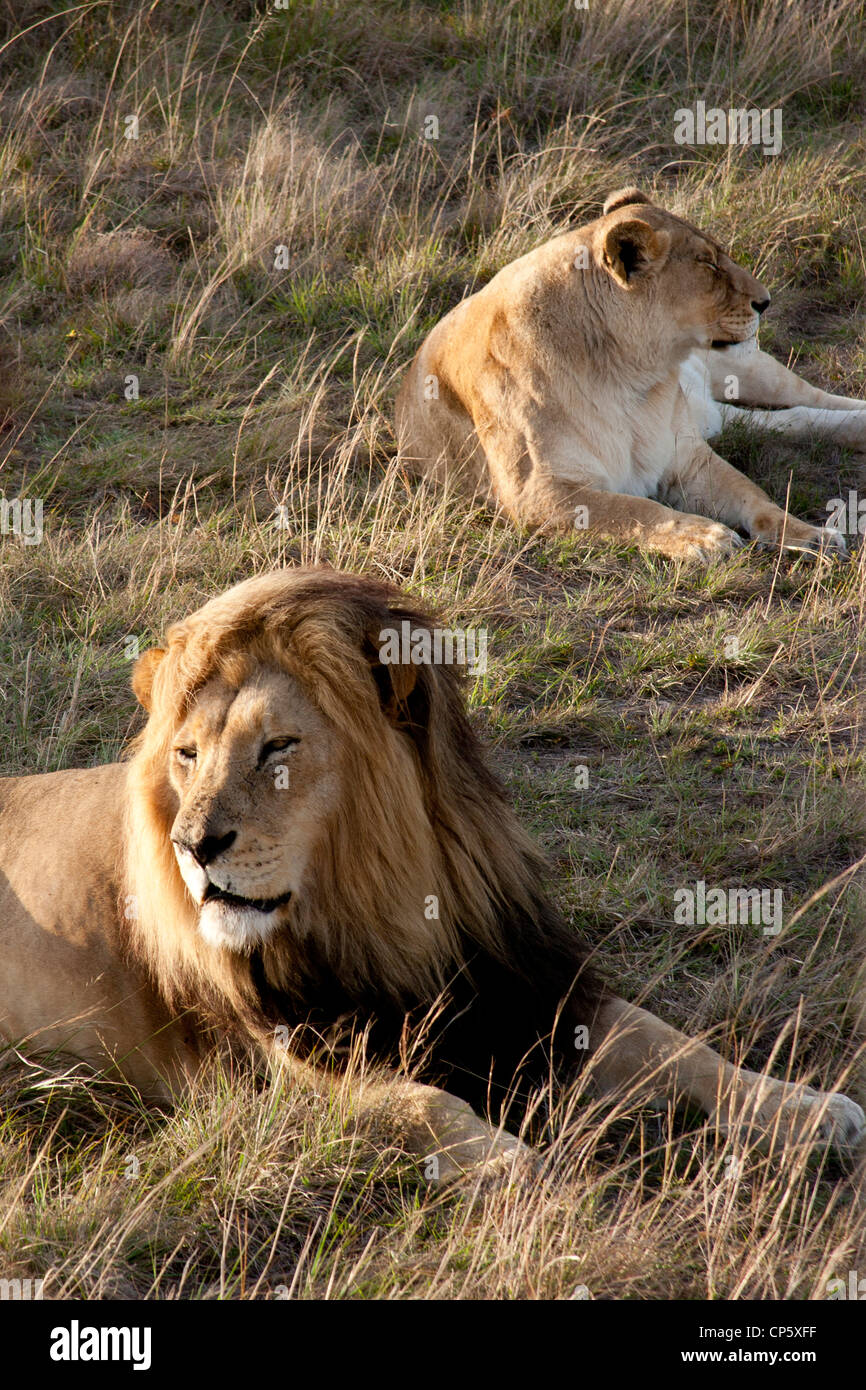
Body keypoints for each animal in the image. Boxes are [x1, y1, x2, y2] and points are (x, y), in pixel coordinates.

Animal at [3, 569, 861, 1178]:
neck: (384, 912)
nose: (193, 845)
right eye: (186, 755)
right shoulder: (286, 1064)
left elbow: (678, 1046)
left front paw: (812, 1110)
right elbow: (420, 1104)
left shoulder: (524, 986)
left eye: (278, 747)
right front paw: (510, 1162)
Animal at [397, 187, 861, 561]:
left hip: (745, 368)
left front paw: (811, 535)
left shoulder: (687, 456)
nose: (765, 302)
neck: (633, 376)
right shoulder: (540, 494)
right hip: (715, 415)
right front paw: (705, 537)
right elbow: (637, 511)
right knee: (789, 420)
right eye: (708, 266)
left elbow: (755, 496)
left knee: (813, 400)